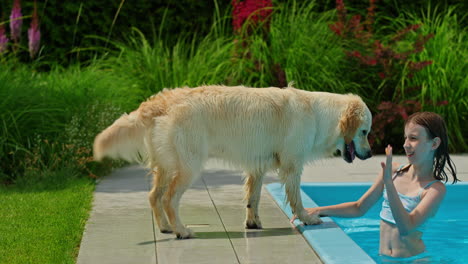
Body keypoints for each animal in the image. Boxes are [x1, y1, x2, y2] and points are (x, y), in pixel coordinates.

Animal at [94, 85, 372, 239]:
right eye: (365, 131)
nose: (370, 154)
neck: (320, 116)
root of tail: (161, 101)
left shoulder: (257, 166)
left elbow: (253, 197)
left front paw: (253, 223)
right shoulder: (292, 166)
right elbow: (296, 198)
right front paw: (308, 218)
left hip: (166, 164)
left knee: (154, 196)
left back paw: (165, 228)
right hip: (189, 166)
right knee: (168, 199)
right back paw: (182, 231)